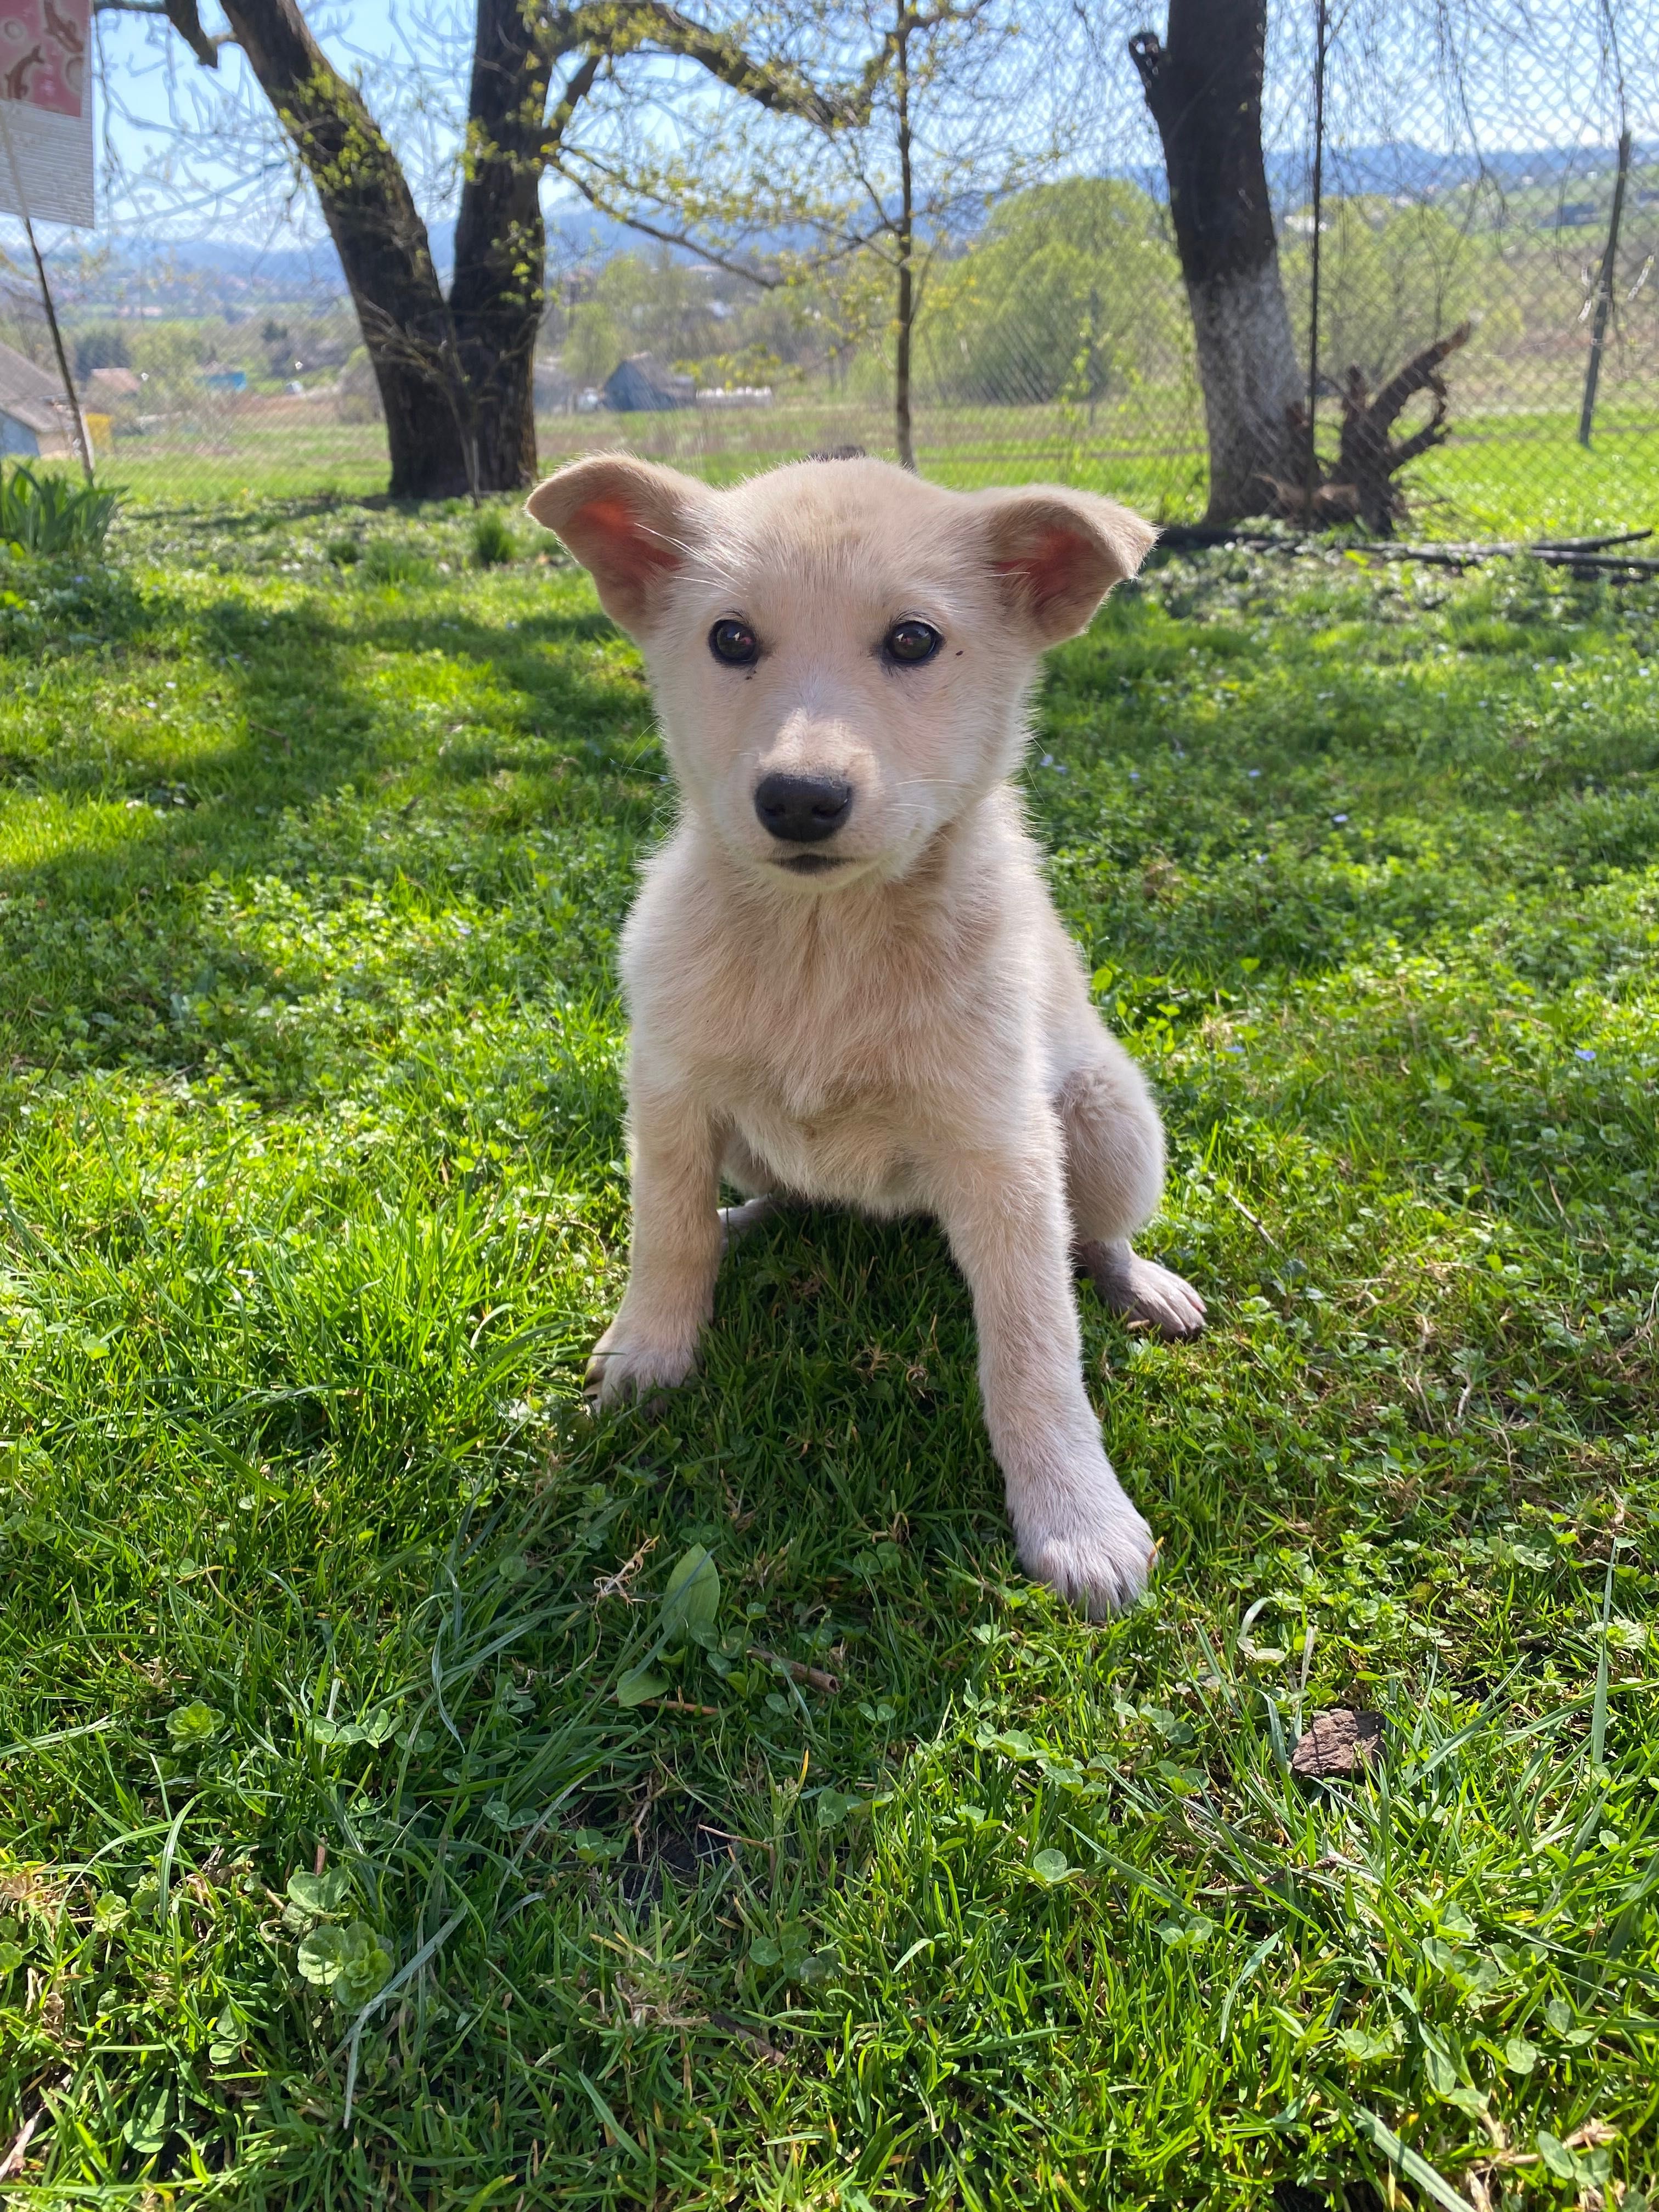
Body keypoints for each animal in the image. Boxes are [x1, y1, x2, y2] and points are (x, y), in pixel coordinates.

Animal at [526, 453, 1203, 1628]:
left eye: (913, 641)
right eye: (730, 639)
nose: (799, 800)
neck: (821, 942)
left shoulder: (1000, 1148)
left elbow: (1034, 1348)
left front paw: (1076, 1517)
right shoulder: (666, 1093)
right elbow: (665, 1236)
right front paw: (648, 1353)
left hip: (1107, 1119)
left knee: (1096, 1240)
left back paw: (1141, 1283)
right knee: (767, 1200)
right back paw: (747, 1221)